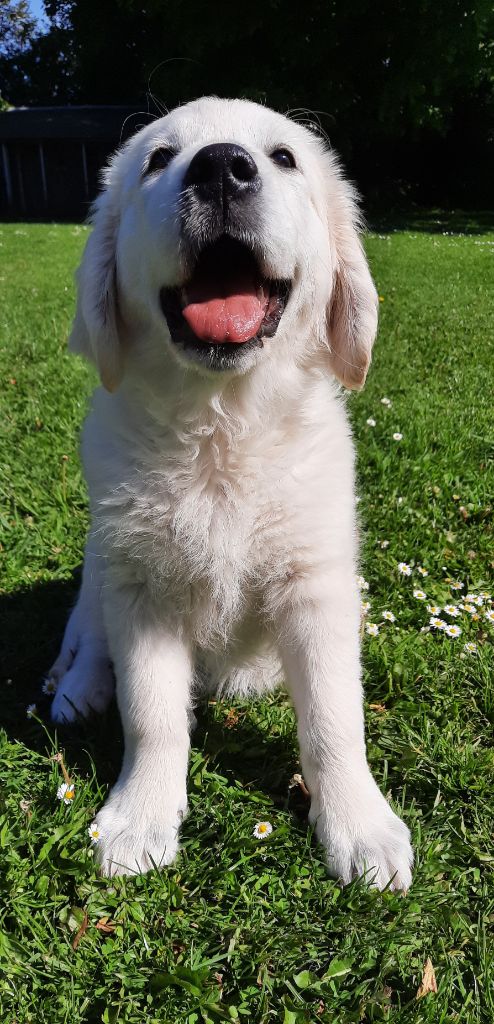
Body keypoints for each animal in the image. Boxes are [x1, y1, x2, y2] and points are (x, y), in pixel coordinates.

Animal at [49, 97, 412, 888]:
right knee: (87, 631)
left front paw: (361, 828)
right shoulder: (141, 589)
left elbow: (335, 718)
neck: (222, 429)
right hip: (101, 560)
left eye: (283, 157)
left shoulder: (316, 585)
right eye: (158, 159)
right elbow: (151, 714)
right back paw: (77, 687)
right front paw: (139, 818)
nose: (221, 168)